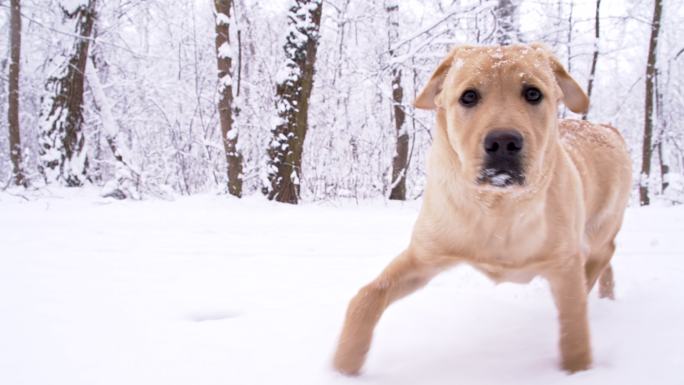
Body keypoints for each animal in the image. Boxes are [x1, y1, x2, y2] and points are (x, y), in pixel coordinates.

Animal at [332, 42, 632, 376]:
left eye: (533, 93)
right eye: (469, 96)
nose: (503, 142)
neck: (496, 209)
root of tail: (607, 128)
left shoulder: (564, 265)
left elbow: (574, 331)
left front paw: (578, 370)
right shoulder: (423, 256)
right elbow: (366, 297)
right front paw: (343, 366)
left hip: (600, 228)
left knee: (603, 256)